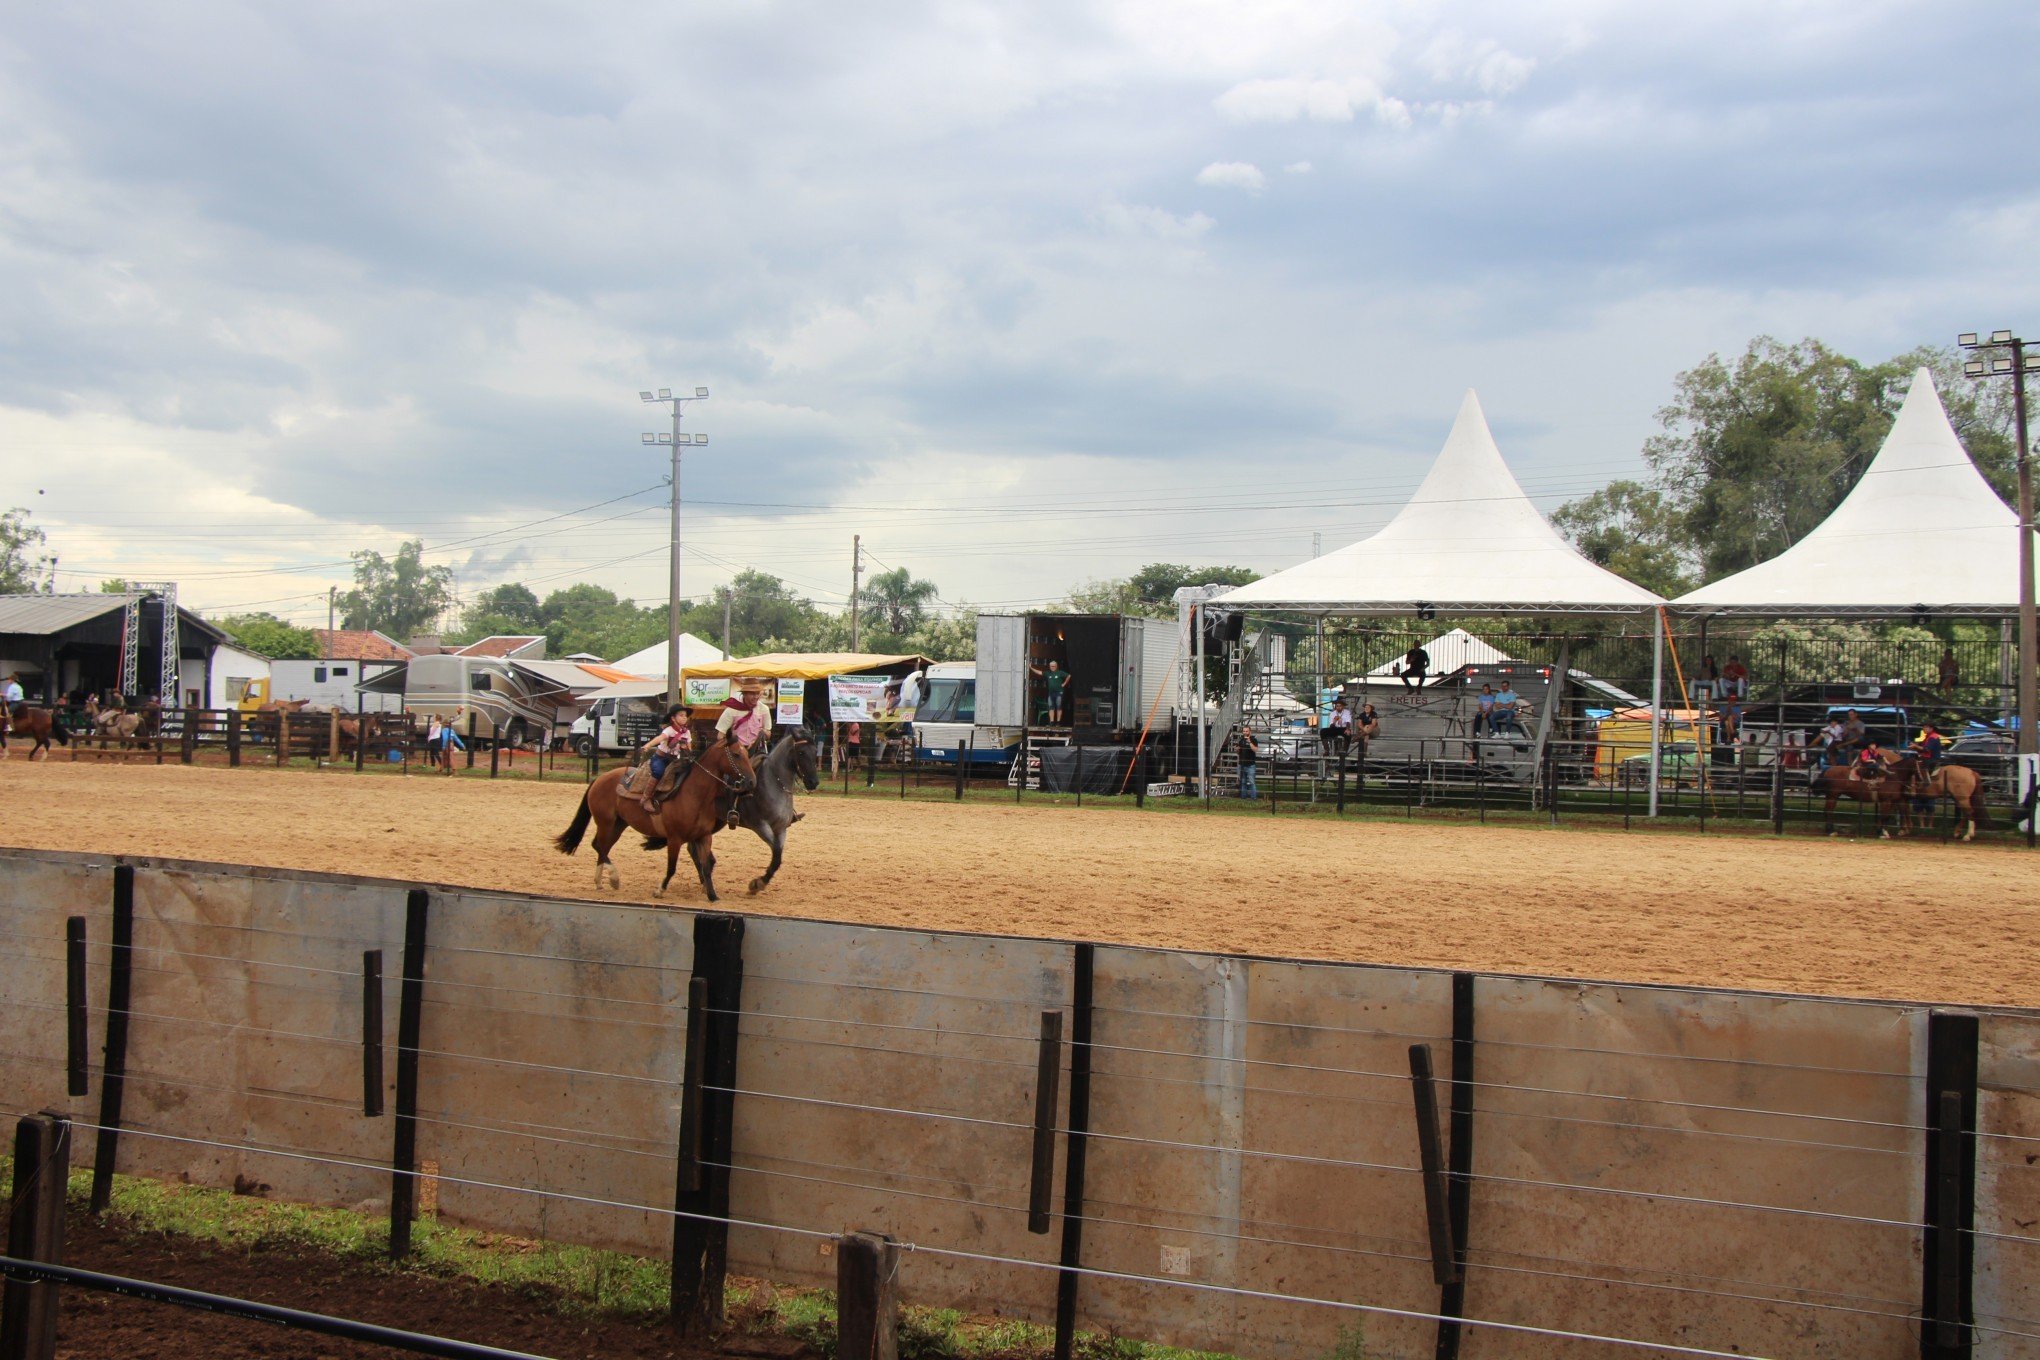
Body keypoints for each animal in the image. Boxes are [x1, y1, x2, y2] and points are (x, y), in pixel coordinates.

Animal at [550, 734, 758, 905]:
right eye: (736, 755)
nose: (751, 782)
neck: (693, 794)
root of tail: (598, 780)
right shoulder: (674, 839)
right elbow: (672, 867)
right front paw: (659, 890)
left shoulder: (704, 837)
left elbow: (706, 866)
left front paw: (713, 895)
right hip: (605, 822)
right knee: (599, 846)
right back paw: (613, 878)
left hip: (618, 824)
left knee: (602, 847)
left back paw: (601, 882)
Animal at [734, 734, 820, 893]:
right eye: (801, 753)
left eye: (815, 751)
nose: (813, 782)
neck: (774, 784)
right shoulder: (760, 826)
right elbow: (777, 854)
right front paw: (758, 883)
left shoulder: (781, 829)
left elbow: (777, 857)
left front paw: (760, 882)